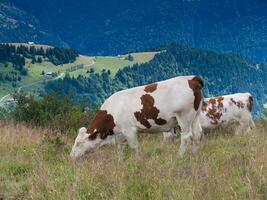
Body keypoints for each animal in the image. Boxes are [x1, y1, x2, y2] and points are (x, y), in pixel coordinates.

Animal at [70, 76, 204, 160]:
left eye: (78, 143)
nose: (71, 156)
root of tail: (191, 79)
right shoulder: (120, 133)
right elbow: (121, 148)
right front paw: (121, 162)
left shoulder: (129, 130)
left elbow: (134, 147)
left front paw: (137, 161)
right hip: (195, 116)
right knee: (197, 134)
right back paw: (194, 155)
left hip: (184, 116)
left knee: (186, 136)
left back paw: (179, 156)